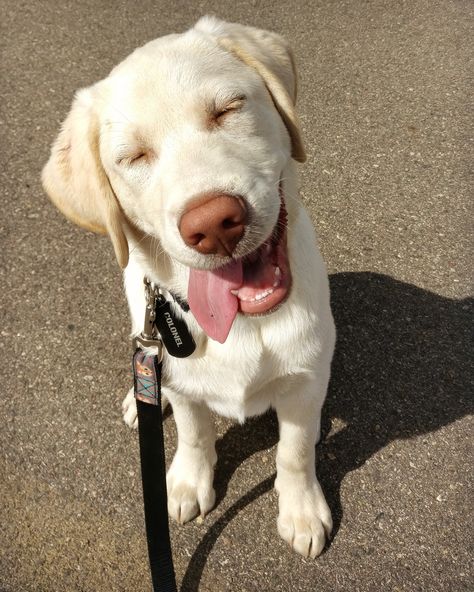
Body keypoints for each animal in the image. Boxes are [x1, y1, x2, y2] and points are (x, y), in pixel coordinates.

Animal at [42, 15, 336, 560]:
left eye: (229, 108)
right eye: (134, 157)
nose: (214, 224)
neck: (242, 325)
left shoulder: (306, 381)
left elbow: (295, 451)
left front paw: (301, 509)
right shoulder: (182, 386)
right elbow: (195, 433)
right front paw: (185, 483)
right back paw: (136, 403)